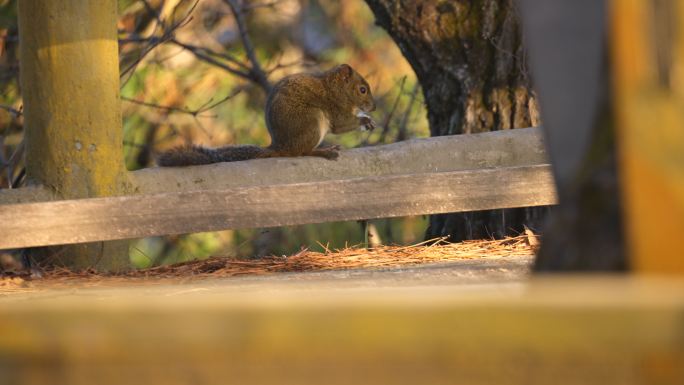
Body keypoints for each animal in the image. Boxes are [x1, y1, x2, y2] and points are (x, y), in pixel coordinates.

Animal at [157, 62, 376, 165]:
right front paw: (365, 120)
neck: (335, 88)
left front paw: (368, 120)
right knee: (301, 152)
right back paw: (323, 151)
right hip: (313, 122)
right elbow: (341, 125)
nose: (373, 107)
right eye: (362, 89)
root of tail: (280, 146)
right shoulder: (335, 108)